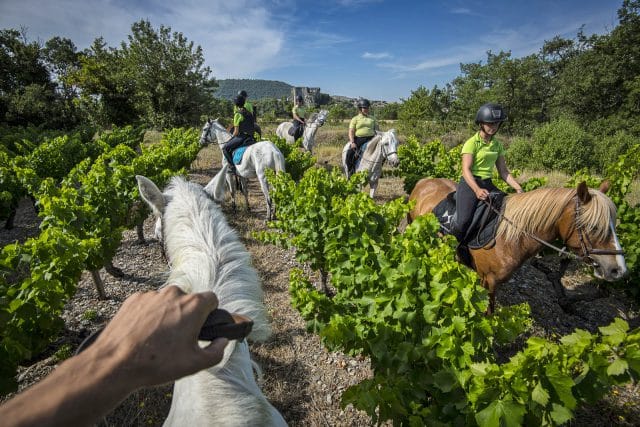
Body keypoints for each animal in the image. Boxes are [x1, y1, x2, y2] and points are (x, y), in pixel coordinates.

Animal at [410, 179, 624, 312]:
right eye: (594, 226)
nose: (619, 270)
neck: (509, 236)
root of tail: (424, 182)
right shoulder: (488, 281)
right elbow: (488, 313)